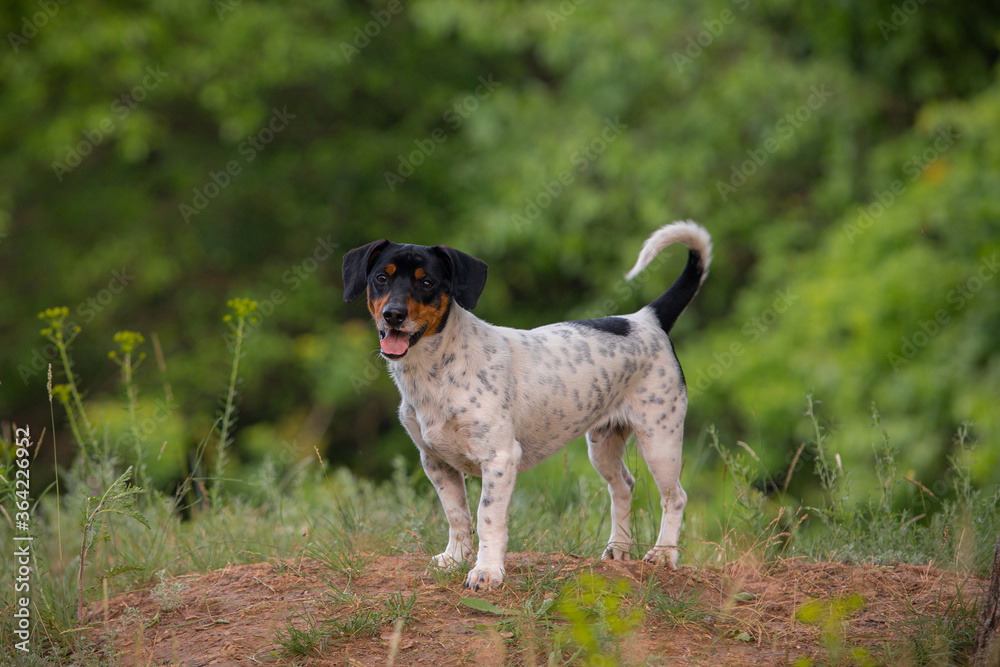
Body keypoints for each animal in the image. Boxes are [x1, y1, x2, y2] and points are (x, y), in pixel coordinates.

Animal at [344, 223, 712, 588]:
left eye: (427, 283)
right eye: (381, 278)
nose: (393, 315)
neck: (437, 371)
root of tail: (646, 318)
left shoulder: (500, 459)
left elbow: (487, 518)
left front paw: (486, 571)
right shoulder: (436, 462)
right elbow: (457, 516)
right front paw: (455, 559)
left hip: (660, 441)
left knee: (675, 497)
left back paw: (663, 554)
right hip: (604, 444)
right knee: (624, 486)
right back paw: (618, 549)